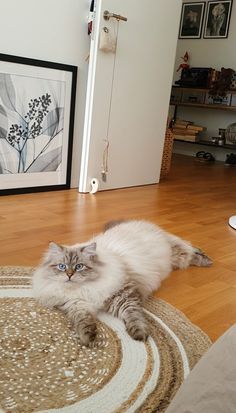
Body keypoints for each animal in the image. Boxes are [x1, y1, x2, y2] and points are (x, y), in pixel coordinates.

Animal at [31, 220, 212, 346]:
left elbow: (134, 316)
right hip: (175, 258)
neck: (84, 289)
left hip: (177, 254)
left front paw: (139, 334)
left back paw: (207, 260)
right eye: (62, 267)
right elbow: (83, 321)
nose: (69, 275)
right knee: (189, 249)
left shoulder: (123, 296)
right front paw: (88, 337)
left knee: (191, 250)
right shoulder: (77, 304)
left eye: (79, 266)